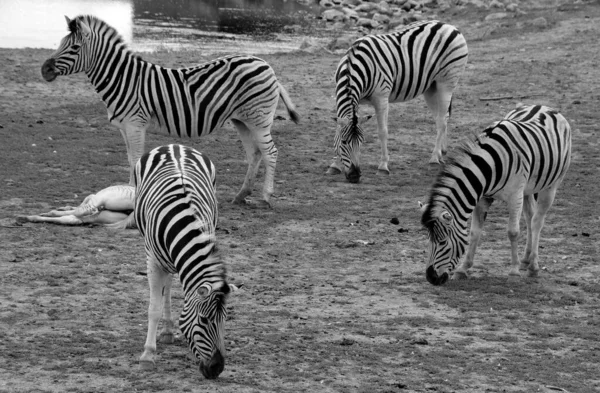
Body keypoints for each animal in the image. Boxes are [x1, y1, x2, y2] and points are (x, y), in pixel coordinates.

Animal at [41, 14, 298, 208]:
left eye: (74, 47)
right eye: (60, 43)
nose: (44, 70)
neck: (123, 78)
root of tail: (267, 66)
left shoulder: (135, 124)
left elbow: (135, 159)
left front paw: (134, 195)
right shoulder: (124, 127)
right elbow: (129, 159)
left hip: (259, 119)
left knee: (270, 152)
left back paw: (266, 197)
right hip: (242, 120)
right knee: (255, 154)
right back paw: (241, 195)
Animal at [131, 144, 237, 376]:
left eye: (224, 319)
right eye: (204, 320)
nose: (217, 369)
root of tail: (174, 145)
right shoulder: (153, 261)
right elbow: (154, 307)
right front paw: (148, 355)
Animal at [328, 19, 468, 182]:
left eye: (361, 142)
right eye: (344, 142)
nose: (355, 176)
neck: (353, 66)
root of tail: (448, 25)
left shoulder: (381, 97)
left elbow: (382, 132)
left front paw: (383, 166)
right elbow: (337, 130)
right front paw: (335, 165)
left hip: (446, 83)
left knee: (441, 121)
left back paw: (434, 159)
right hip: (431, 87)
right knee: (442, 117)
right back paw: (441, 152)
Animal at [420, 102, 576, 284]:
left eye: (443, 242)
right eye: (429, 239)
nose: (431, 278)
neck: (489, 167)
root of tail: (542, 105)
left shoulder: (515, 195)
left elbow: (513, 232)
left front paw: (514, 271)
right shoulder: (482, 197)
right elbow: (474, 232)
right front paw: (463, 269)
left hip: (551, 186)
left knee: (537, 222)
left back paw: (533, 266)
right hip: (527, 188)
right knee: (530, 217)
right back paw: (526, 259)